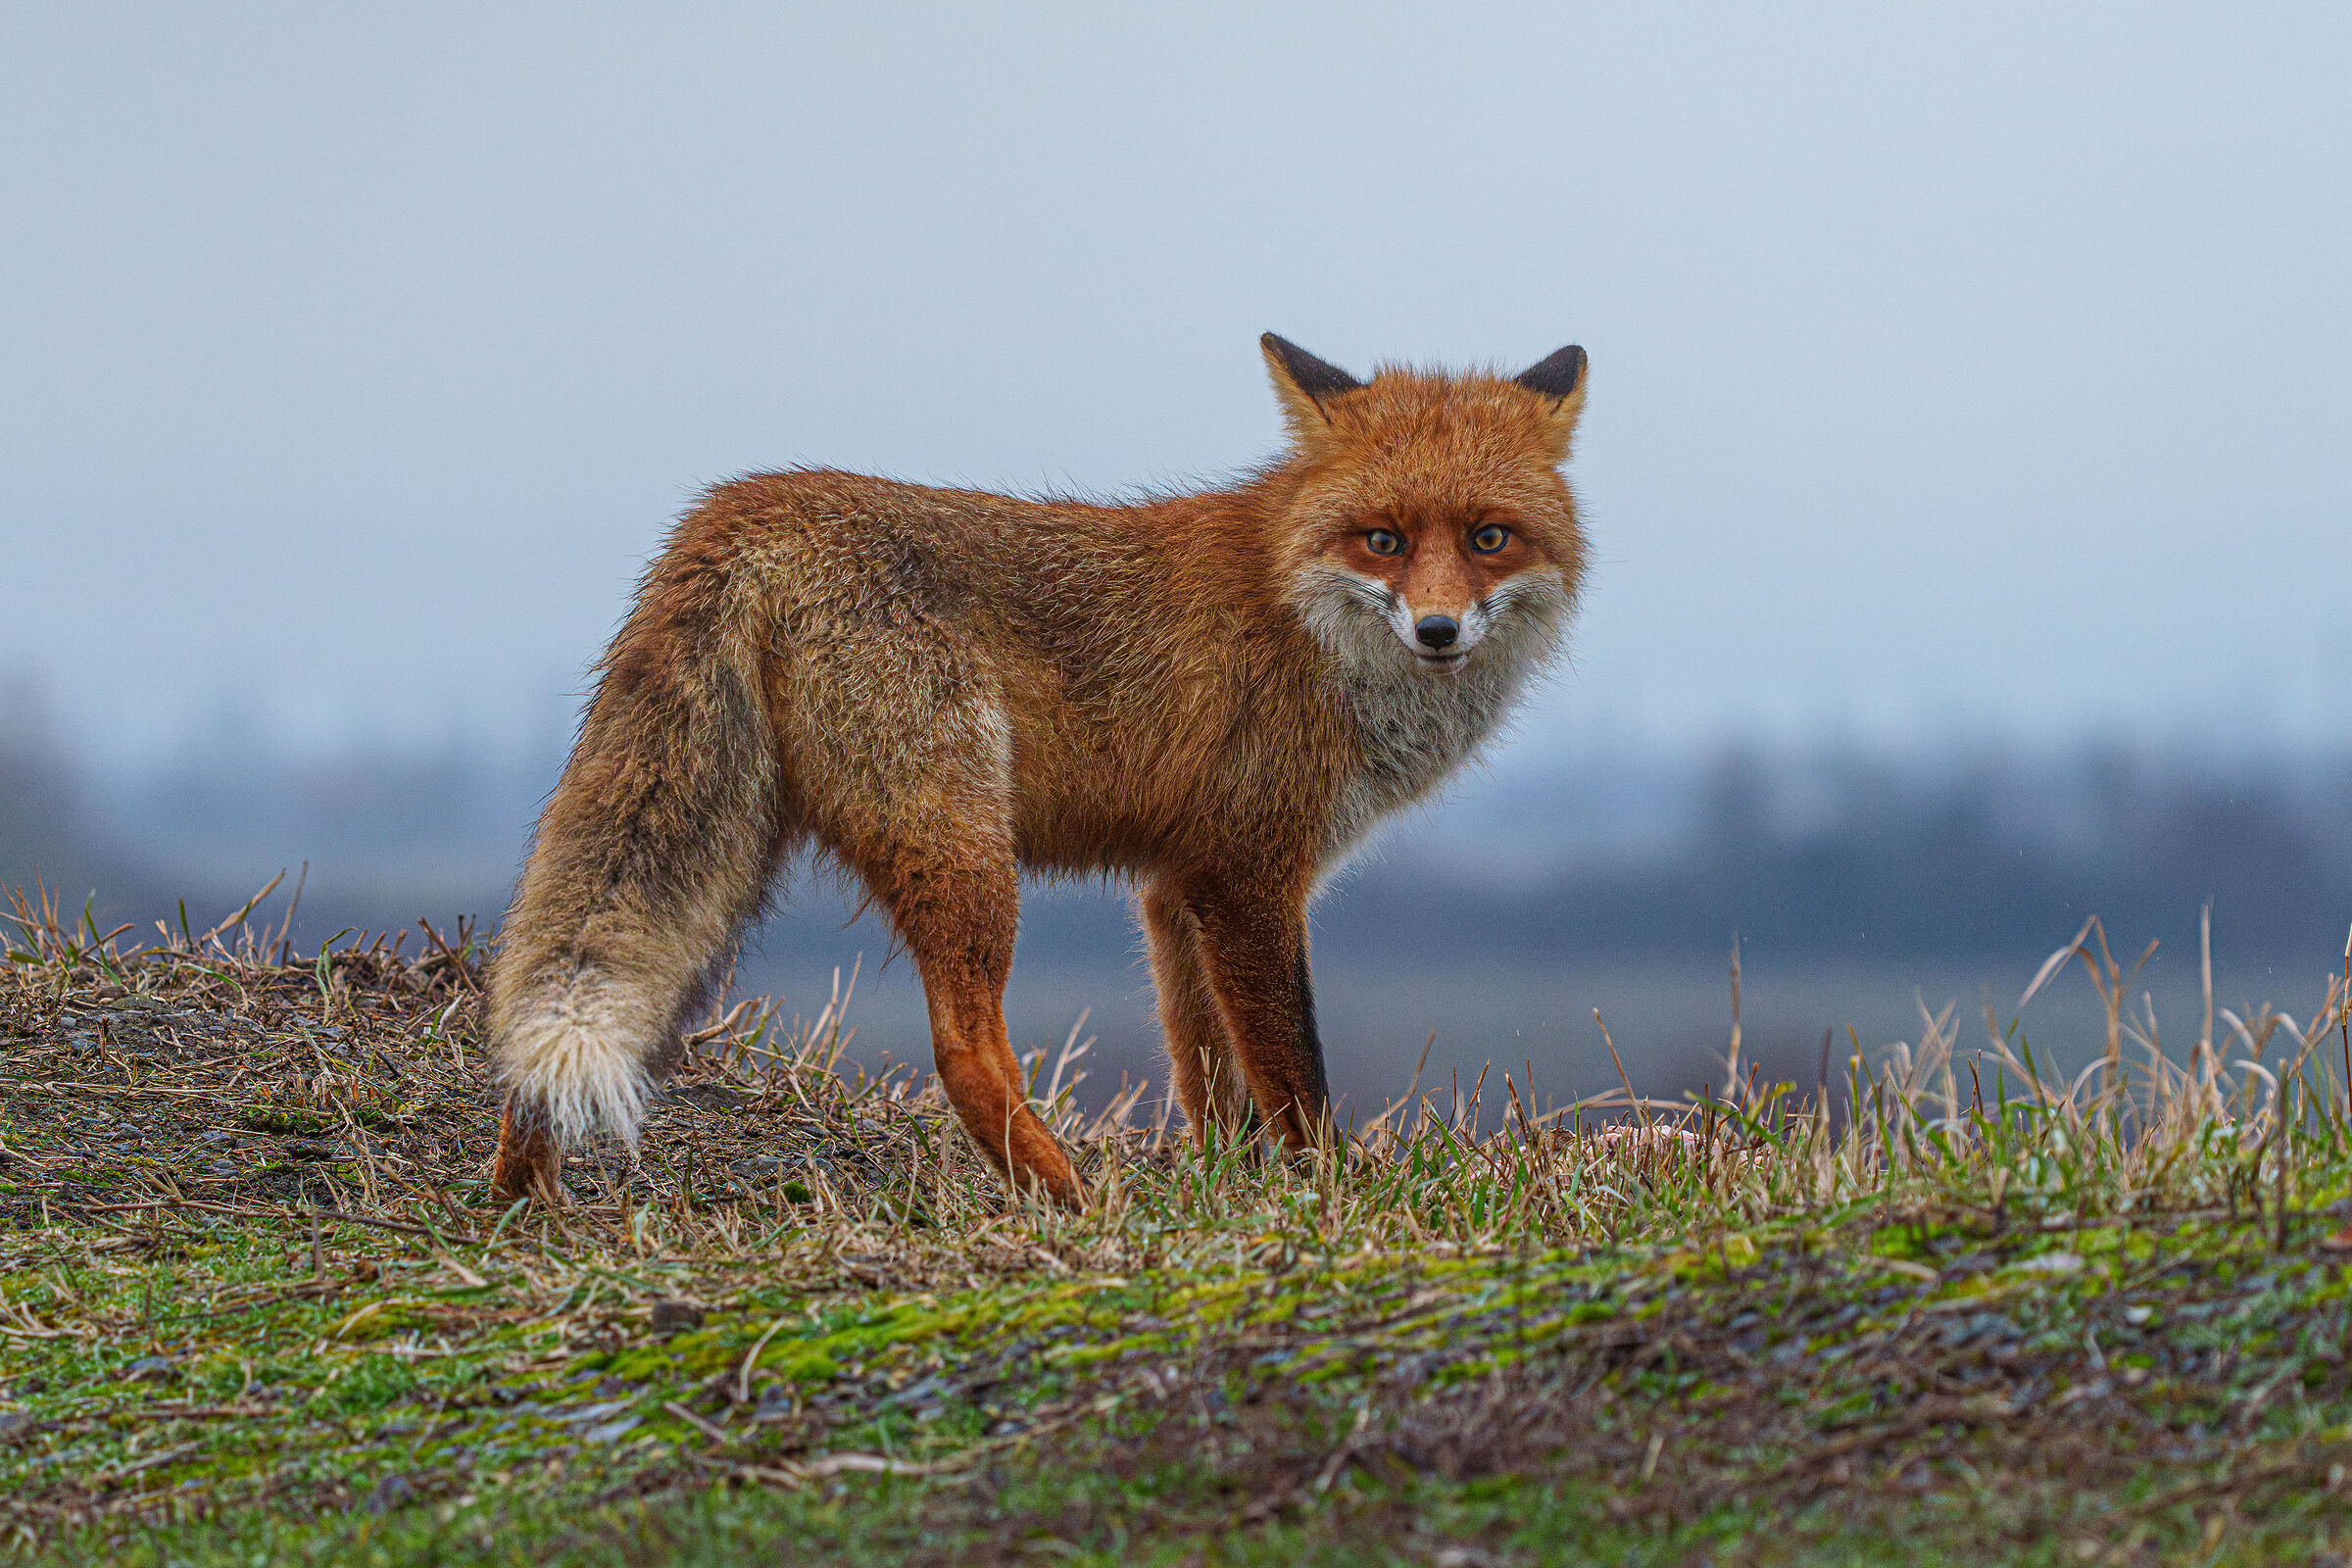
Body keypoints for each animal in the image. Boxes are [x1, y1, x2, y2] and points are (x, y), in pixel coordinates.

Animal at [486, 333, 1590, 1208]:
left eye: (1490, 537)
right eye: (1383, 540)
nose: (1439, 630)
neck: (1304, 618)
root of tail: (747, 505)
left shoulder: (1178, 885)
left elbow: (1210, 1081)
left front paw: (1233, 1193)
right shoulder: (1250, 876)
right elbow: (1297, 1080)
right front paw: (1330, 1199)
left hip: (730, 857)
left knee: (537, 1039)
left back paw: (524, 1203)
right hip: (963, 849)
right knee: (964, 1053)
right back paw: (1070, 1200)